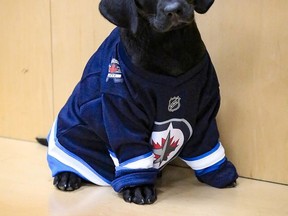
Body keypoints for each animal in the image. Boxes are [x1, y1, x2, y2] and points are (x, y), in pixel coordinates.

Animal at [42, 0, 237, 205]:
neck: (170, 45)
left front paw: (220, 174)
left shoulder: (204, 110)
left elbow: (206, 144)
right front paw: (139, 188)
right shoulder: (122, 113)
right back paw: (67, 175)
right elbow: (134, 151)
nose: (174, 9)